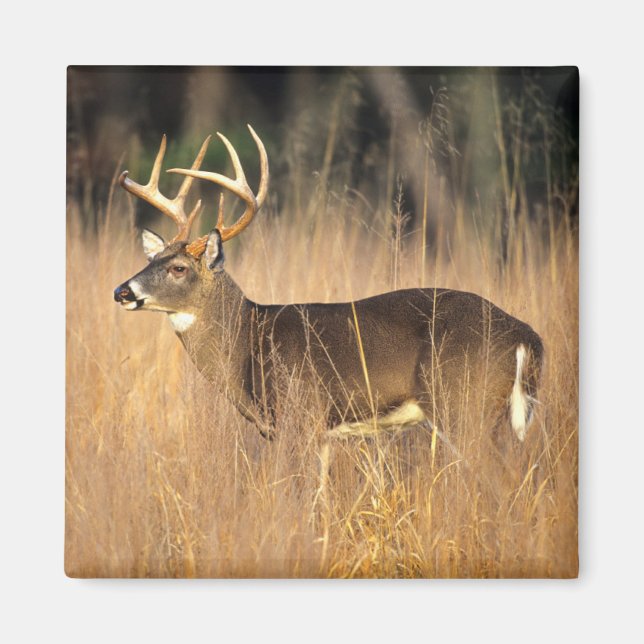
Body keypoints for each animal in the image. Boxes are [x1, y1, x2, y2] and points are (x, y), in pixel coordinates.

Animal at [114, 125, 543, 449]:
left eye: (179, 268)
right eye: (150, 261)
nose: (122, 291)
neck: (248, 341)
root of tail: (526, 336)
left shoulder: (300, 414)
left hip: (463, 403)